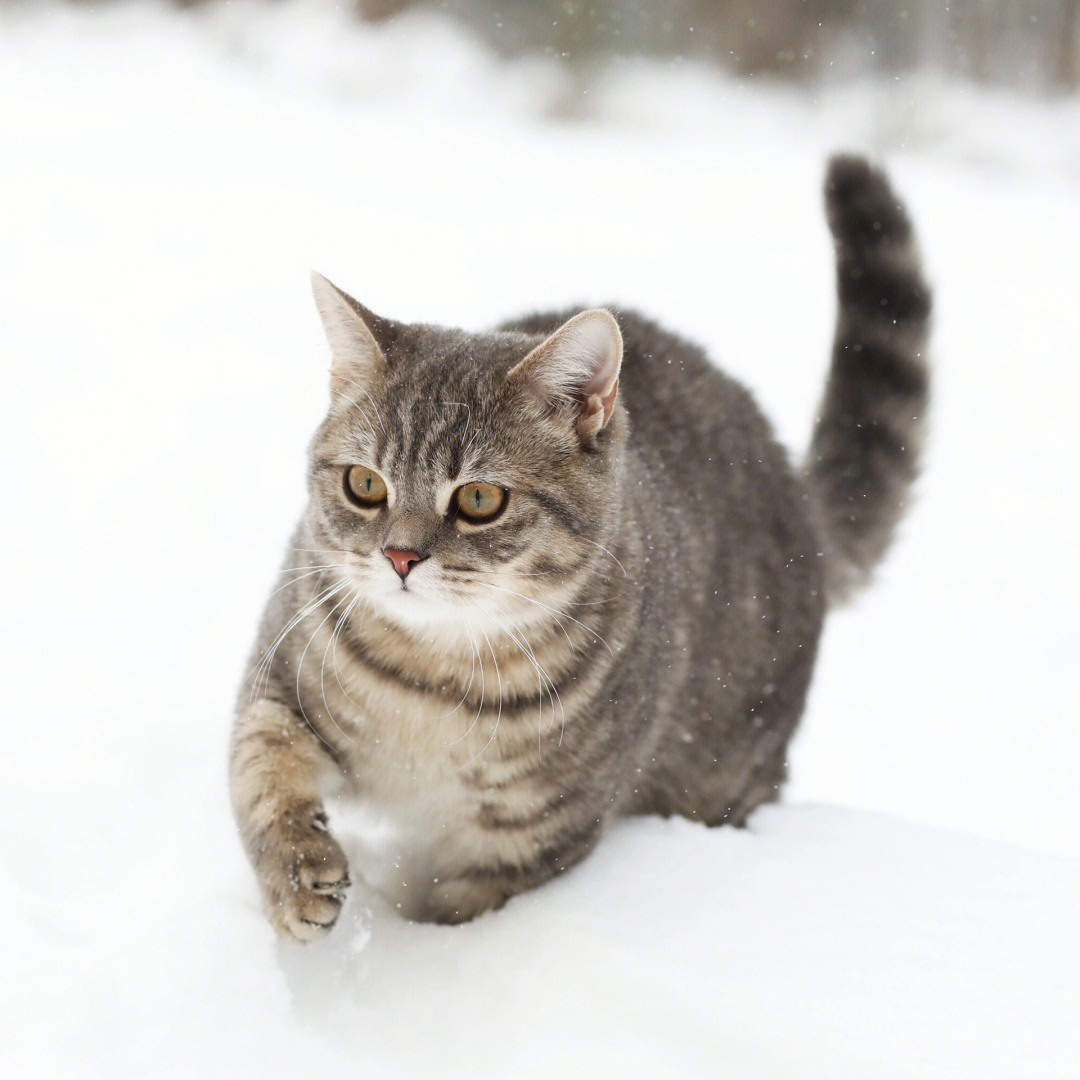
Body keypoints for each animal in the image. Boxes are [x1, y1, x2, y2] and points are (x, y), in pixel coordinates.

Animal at [234, 156, 928, 941]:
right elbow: (263, 768)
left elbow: (465, 930)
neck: (431, 683)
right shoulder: (276, 673)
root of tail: (799, 497)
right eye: (364, 484)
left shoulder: (524, 845)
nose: (400, 557)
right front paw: (297, 876)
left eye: (480, 500)